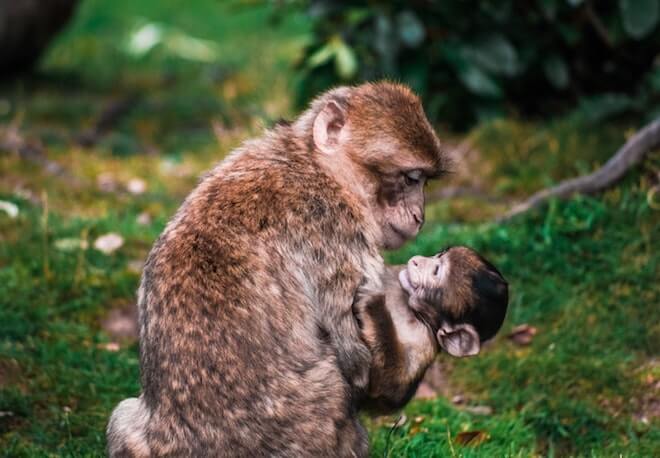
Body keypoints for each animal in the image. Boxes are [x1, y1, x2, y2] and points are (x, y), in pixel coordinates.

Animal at [106, 82, 448, 457]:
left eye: (424, 182)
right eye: (411, 179)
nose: (419, 216)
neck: (314, 166)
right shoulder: (339, 237)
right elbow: (364, 372)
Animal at [356, 246, 508, 413]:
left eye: (436, 271)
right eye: (438, 255)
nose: (417, 260)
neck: (414, 312)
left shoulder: (425, 340)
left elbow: (389, 395)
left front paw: (372, 303)